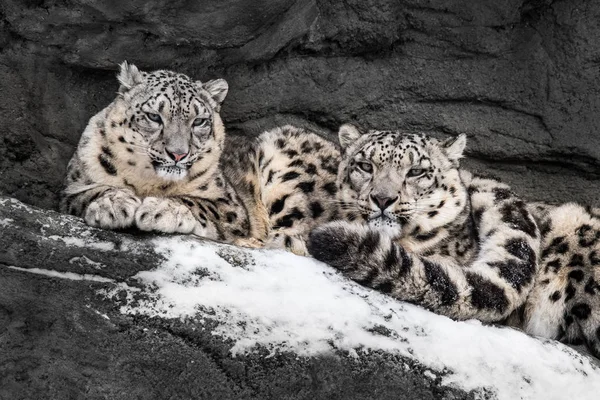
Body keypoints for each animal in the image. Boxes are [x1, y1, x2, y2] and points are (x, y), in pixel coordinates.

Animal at [62, 62, 342, 250]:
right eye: (154, 116)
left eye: (199, 121)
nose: (177, 153)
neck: (148, 182)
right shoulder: (71, 188)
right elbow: (91, 191)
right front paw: (113, 205)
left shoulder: (229, 204)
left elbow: (198, 203)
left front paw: (161, 208)